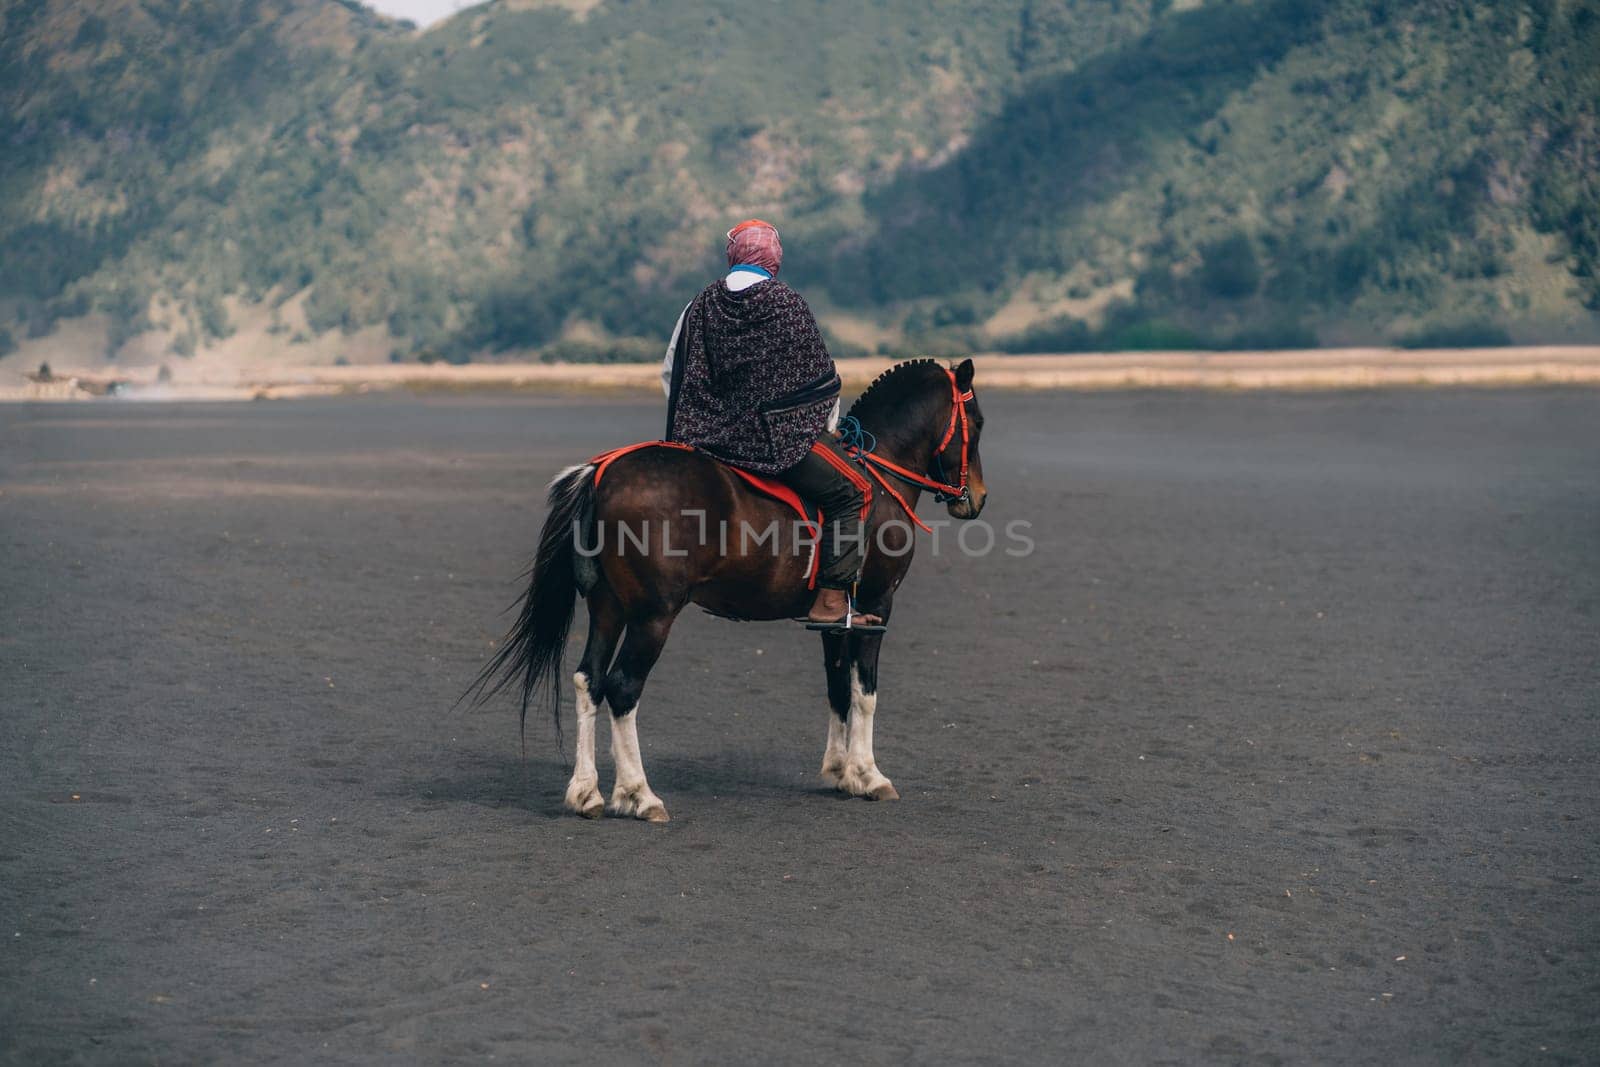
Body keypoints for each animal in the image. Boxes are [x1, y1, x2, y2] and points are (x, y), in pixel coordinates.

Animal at [467, 358, 979, 825]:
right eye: (977, 423)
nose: (976, 498)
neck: (877, 475)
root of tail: (601, 472)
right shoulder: (876, 605)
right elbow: (865, 691)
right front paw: (868, 775)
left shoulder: (837, 618)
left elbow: (837, 688)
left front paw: (839, 771)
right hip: (653, 616)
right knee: (622, 687)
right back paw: (639, 795)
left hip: (607, 609)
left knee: (588, 680)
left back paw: (585, 793)